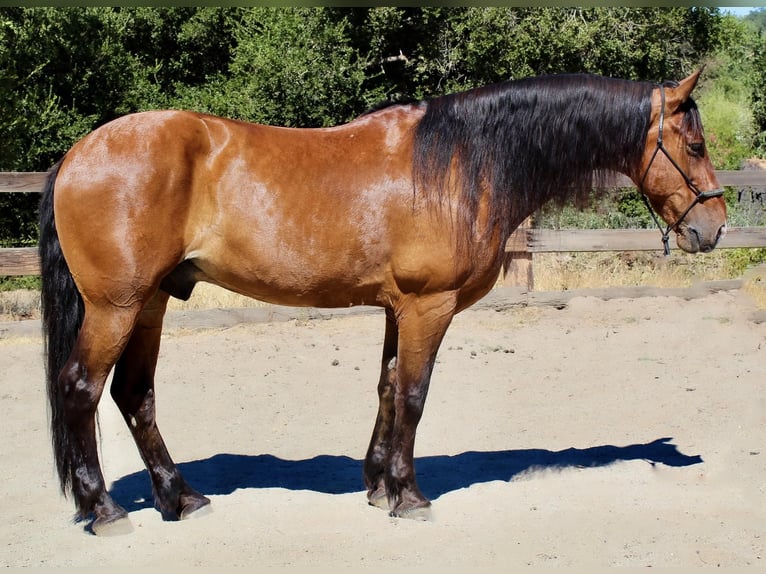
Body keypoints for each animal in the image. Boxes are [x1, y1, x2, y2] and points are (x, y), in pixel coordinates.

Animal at [39, 70, 726, 535]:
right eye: (694, 146)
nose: (712, 228)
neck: (462, 163)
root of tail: (76, 154)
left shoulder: (400, 308)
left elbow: (389, 388)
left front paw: (377, 487)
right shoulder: (429, 305)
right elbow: (415, 396)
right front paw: (410, 496)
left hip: (152, 301)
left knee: (135, 395)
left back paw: (179, 498)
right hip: (116, 306)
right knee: (80, 388)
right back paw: (105, 509)